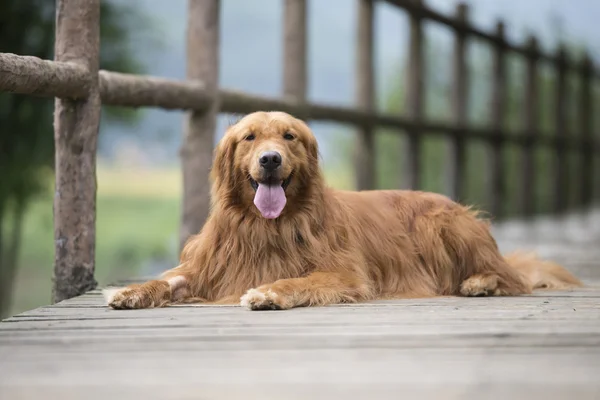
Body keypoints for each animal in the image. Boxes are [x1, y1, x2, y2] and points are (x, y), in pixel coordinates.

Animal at [105, 111, 584, 310]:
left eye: (289, 136)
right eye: (249, 137)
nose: (270, 159)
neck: (268, 227)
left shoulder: (347, 273)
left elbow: (298, 279)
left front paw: (269, 293)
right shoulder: (209, 267)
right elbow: (169, 279)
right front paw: (131, 291)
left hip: (444, 223)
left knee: (513, 278)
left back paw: (480, 283)